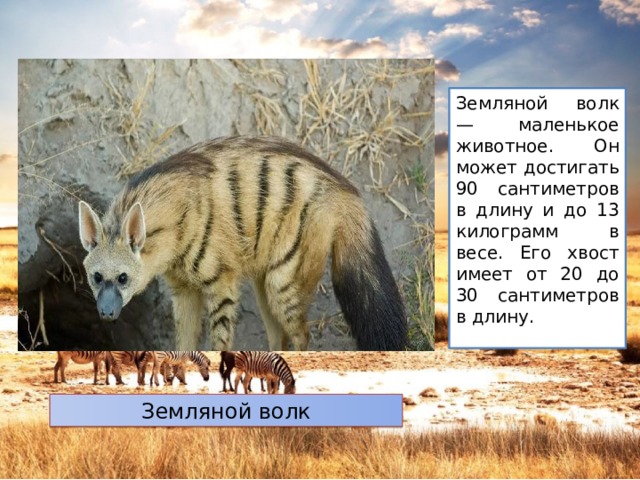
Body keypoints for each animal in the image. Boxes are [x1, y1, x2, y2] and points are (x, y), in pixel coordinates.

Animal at [78, 136, 407, 350]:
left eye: (123, 278)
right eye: (96, 277)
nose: (106, 312)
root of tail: (344, 189)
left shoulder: (221, 281)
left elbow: (220, 343)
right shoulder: (183, 289)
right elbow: (183, 344)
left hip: (284, 280)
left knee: (301, 334)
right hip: (265, 284)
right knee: (279, 337)